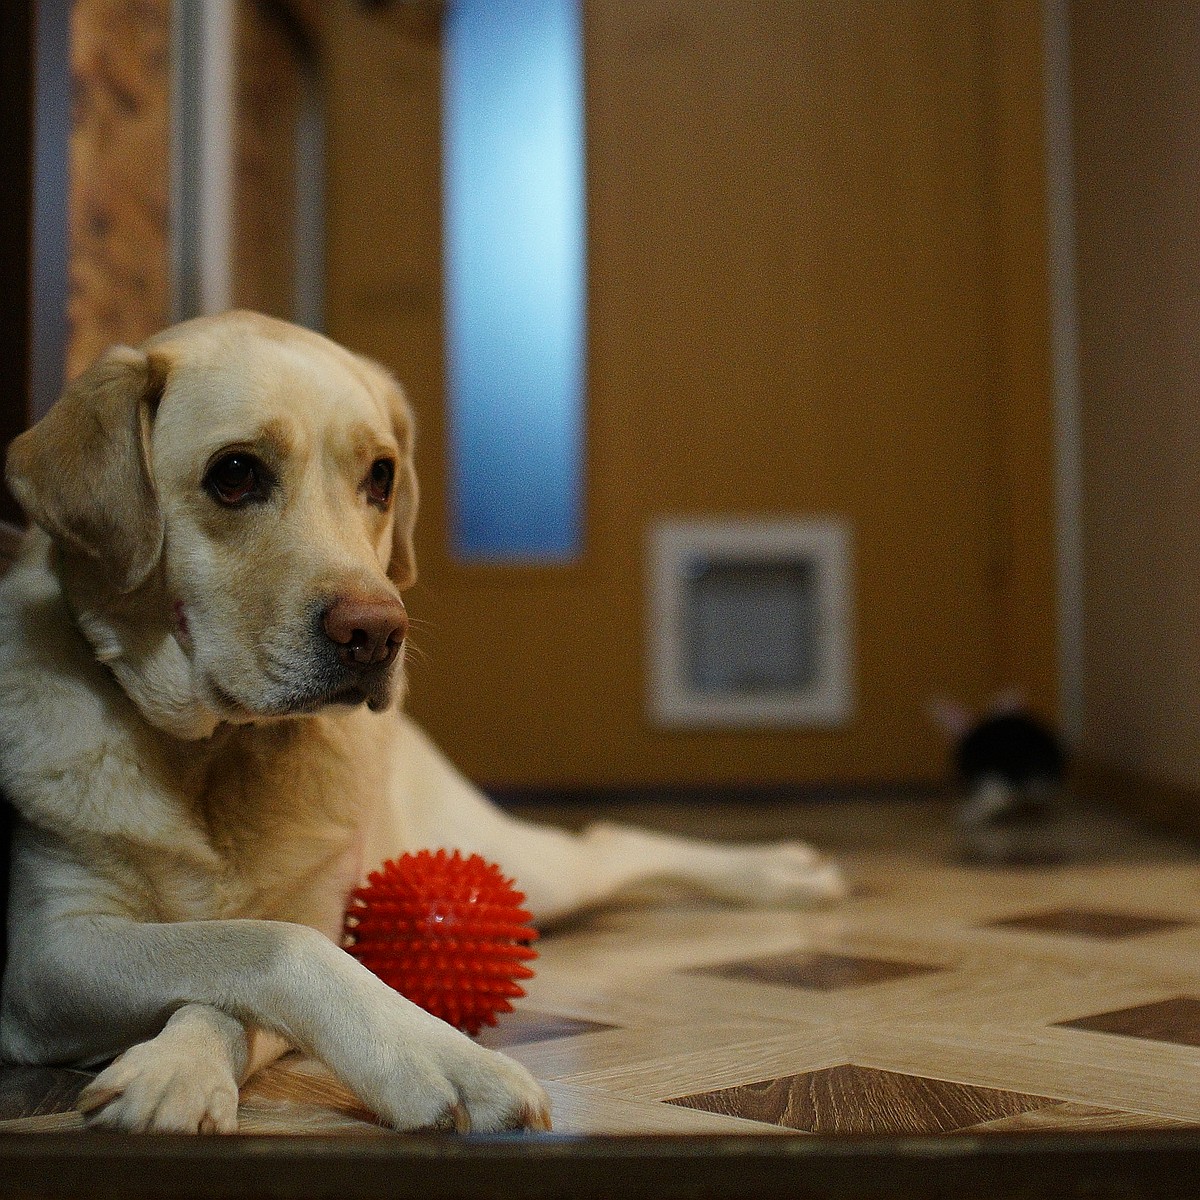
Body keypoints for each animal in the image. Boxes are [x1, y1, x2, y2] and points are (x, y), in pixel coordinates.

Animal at [0, 312, 844, 1132]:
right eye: (234, 474)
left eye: (381, 475)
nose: (378, 633)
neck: (214, 759)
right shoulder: (46, 956)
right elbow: (260, 950)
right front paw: (183, 1068)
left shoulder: (315, 914)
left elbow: (264, 956)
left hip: (523, 865)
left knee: (611, 841)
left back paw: (780, 871)